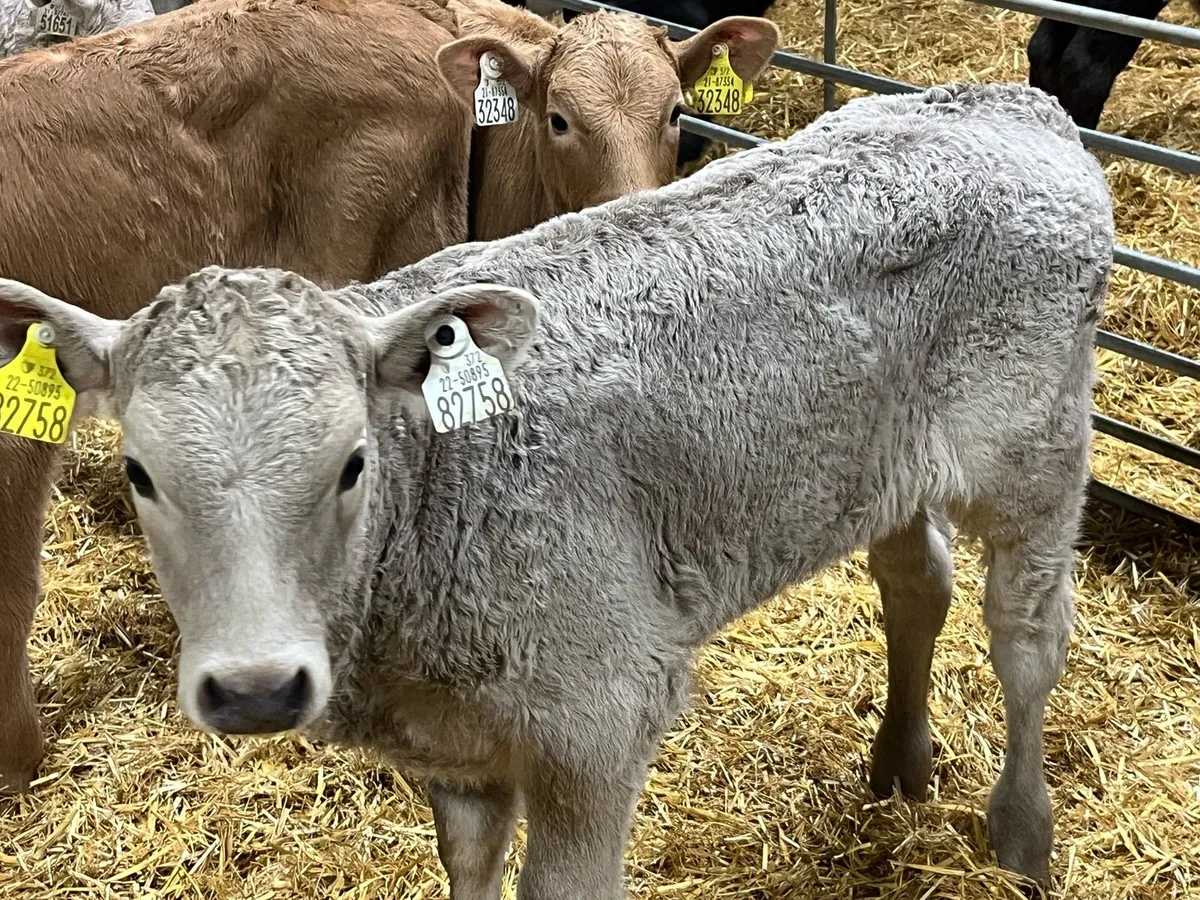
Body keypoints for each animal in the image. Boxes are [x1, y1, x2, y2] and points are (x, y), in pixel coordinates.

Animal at [0, 82, 1114, 895]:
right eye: (141, 474)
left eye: (352, 463)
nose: (256, 688)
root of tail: (1010, 102)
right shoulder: (456, 748)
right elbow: (468, 867)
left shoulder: (598, 719)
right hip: (882, 459)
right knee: (914, 581)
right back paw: (901, 760)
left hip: (1037, 443)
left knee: (1027, 635)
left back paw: (1022, 835)